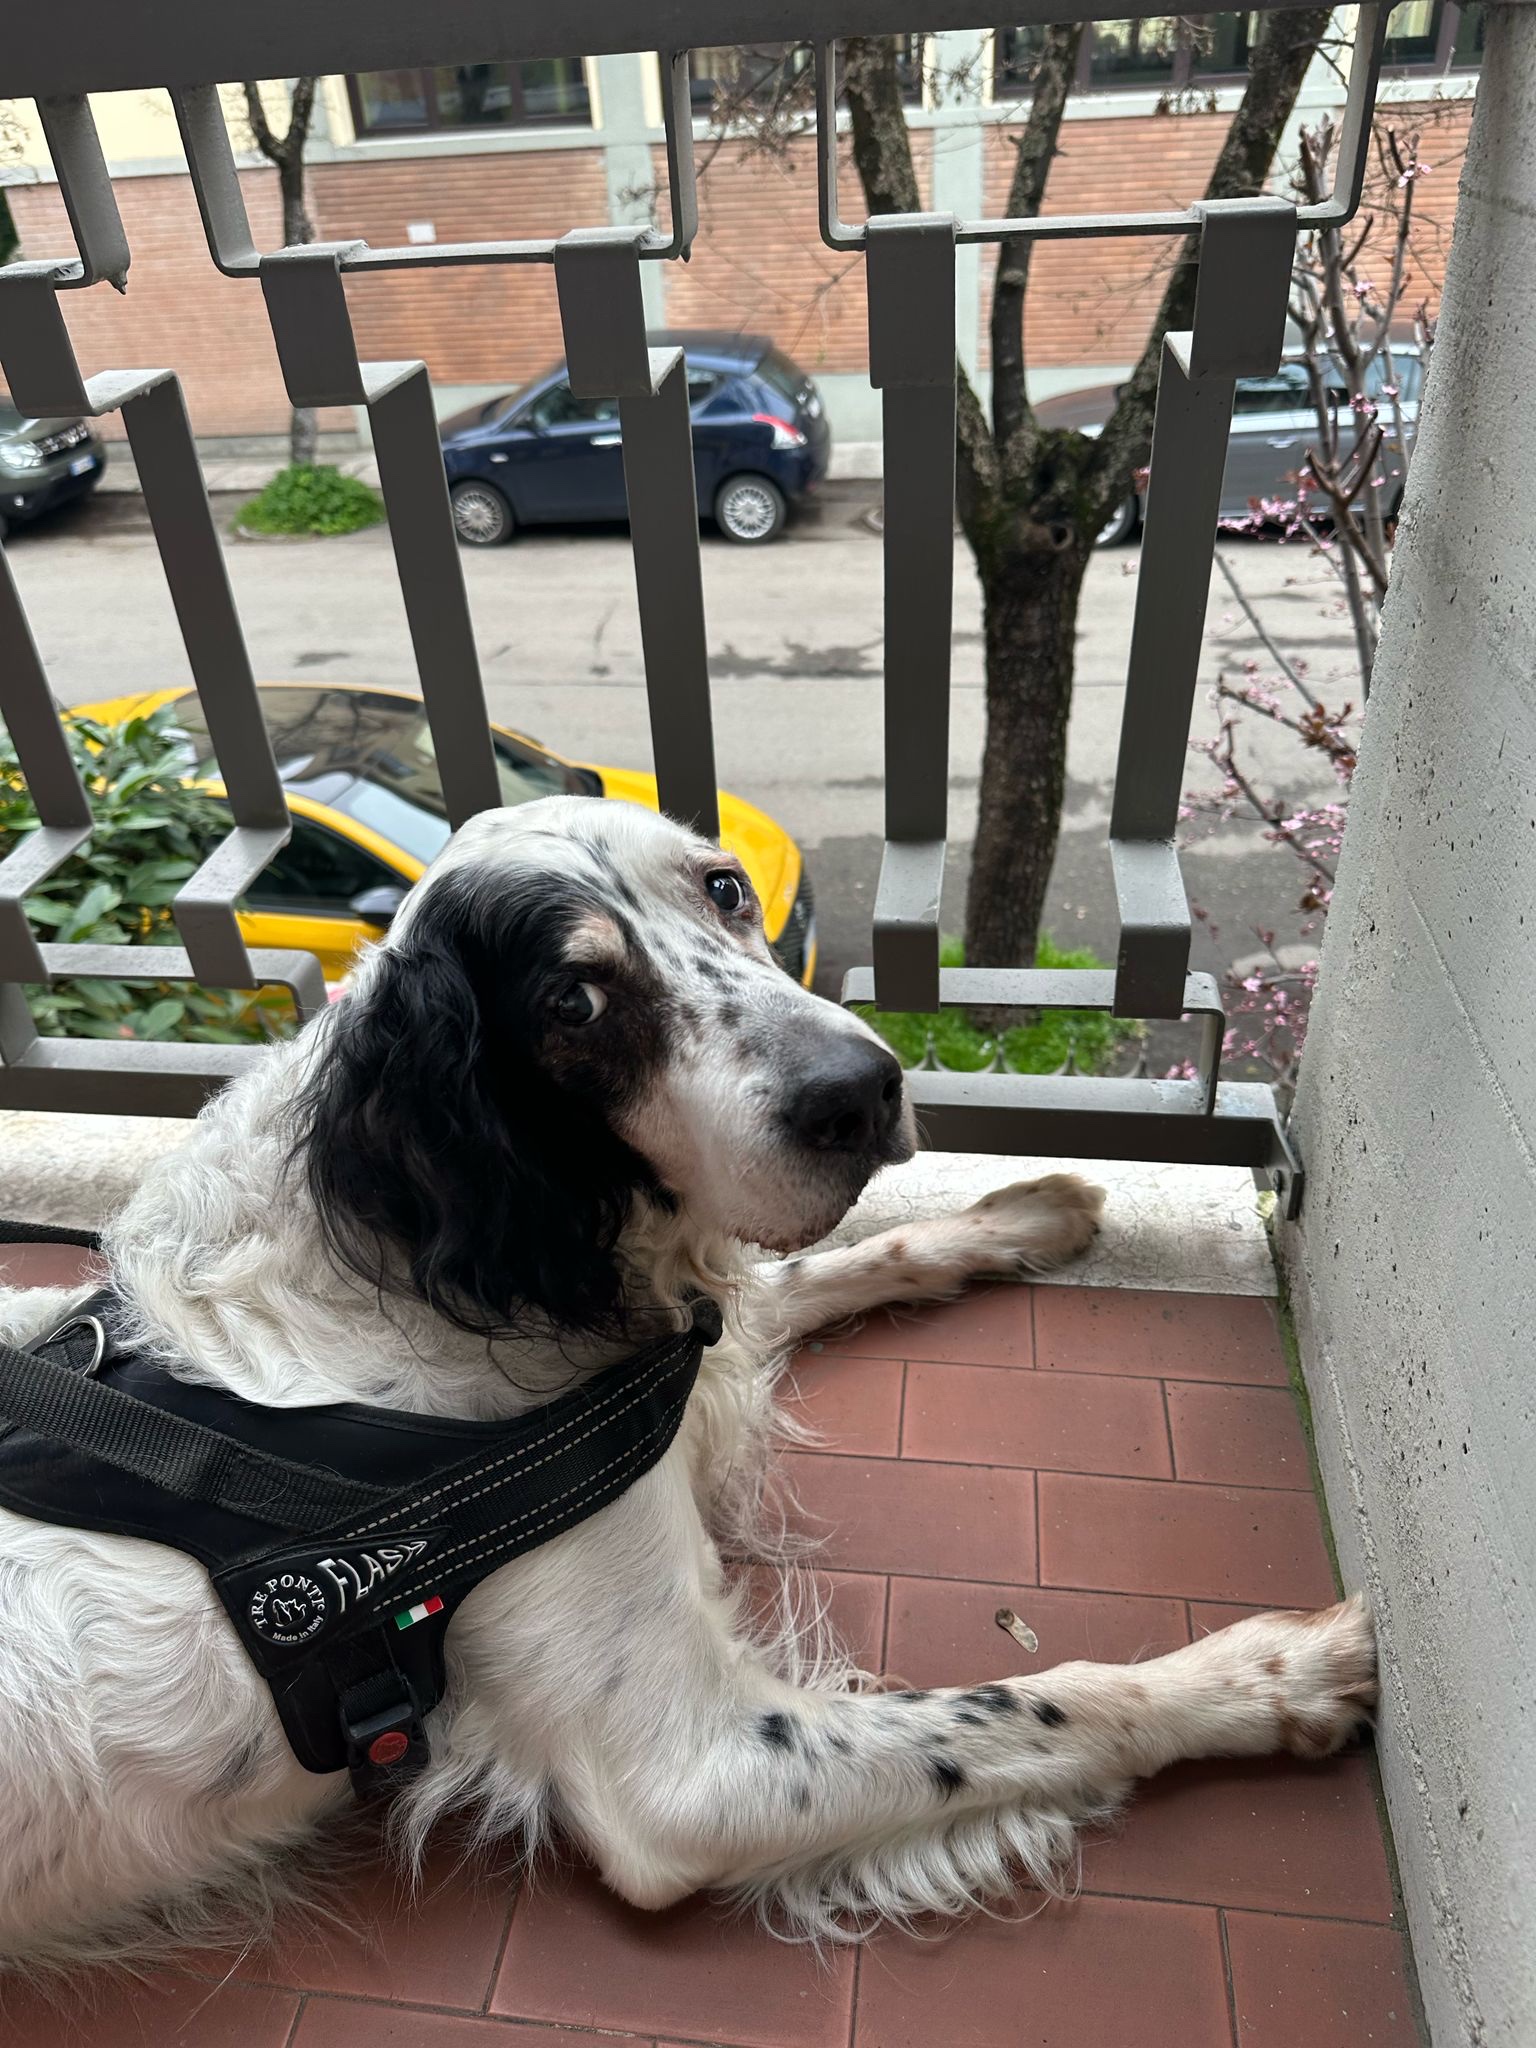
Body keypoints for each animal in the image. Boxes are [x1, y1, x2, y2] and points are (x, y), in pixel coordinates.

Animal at [0, 795, 1375, 1964]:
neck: (415, 1252)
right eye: (574, 999)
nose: (860, 1089)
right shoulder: (691, 1775)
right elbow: (1042, 1702)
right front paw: (1271, 1673)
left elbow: (817, 1270)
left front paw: (1019, 1212)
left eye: (724, 888)